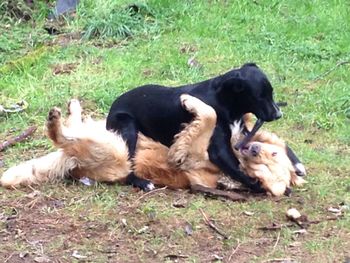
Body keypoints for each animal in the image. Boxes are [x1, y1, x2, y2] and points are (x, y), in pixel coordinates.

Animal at [106, 63, 304, 192]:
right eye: (259, 96)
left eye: (271, 93)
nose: (278, 114)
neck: (227, 102)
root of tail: (112, 108)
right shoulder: (219, 149)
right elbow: (239, 169)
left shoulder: (242, 134)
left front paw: (297, 165)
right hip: (128, 128)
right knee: (126, 166)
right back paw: (142, 182)